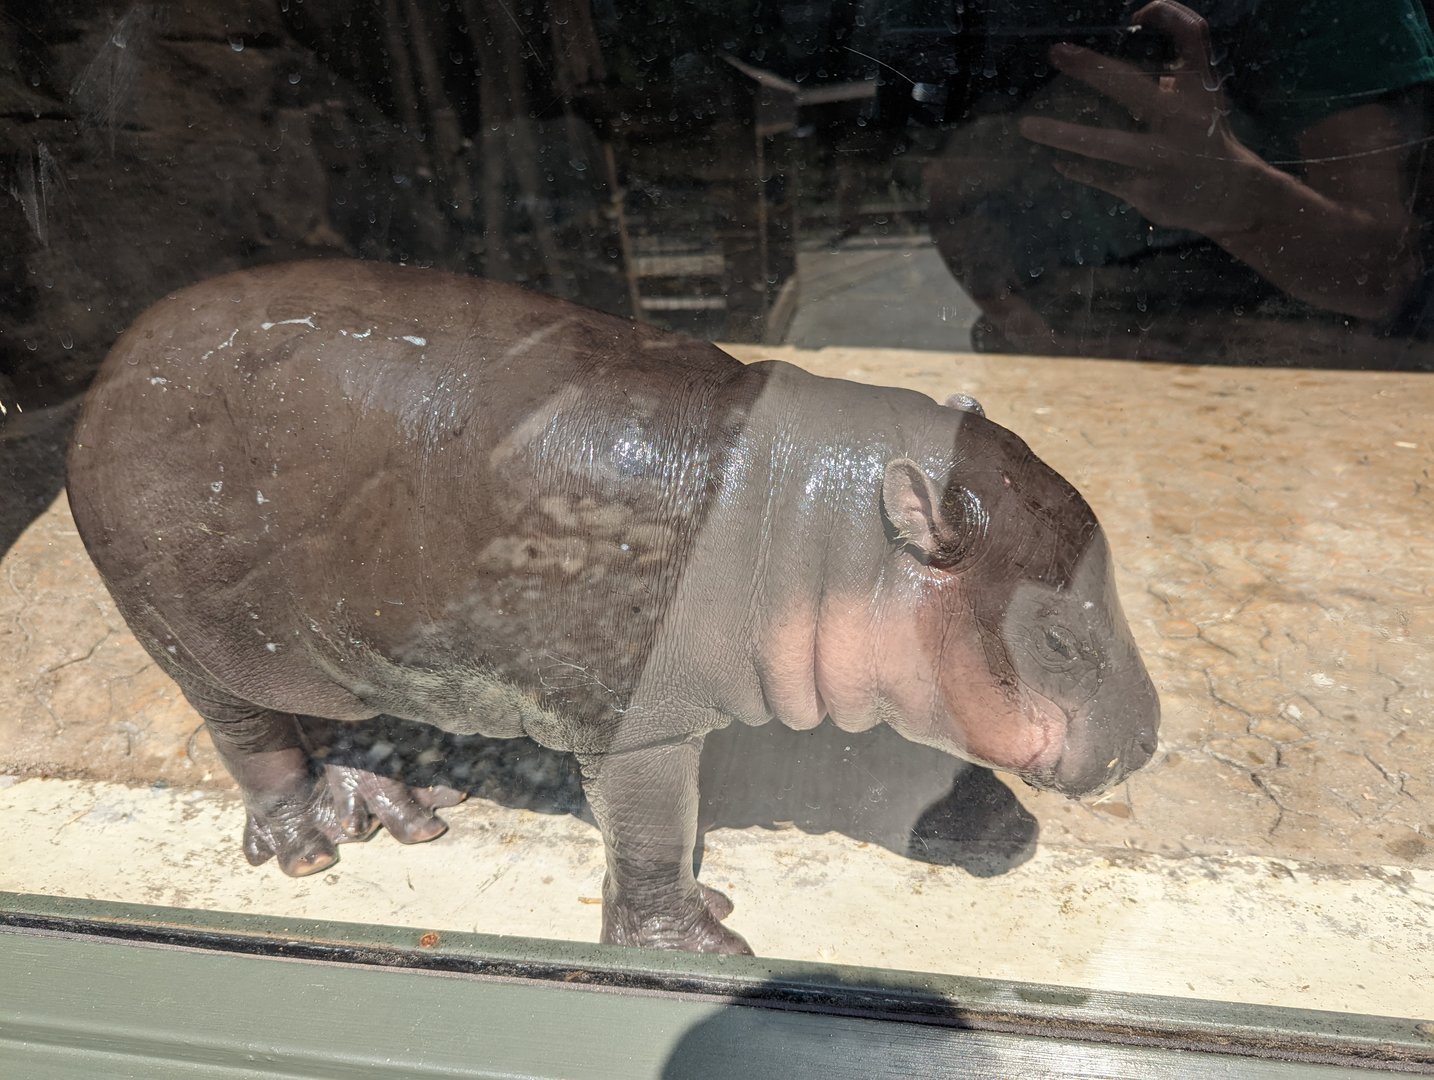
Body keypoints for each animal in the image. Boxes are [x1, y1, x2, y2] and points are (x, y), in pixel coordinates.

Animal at [66, 260, 1159, 954]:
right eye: (1059, 636)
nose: (1150, 740)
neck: (809, 520)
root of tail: (108, 365)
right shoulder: (639, 726)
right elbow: (651, 835)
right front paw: (701, 945)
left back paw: (399, 802)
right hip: (194, 642)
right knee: (252, 738)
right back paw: (309, 843)